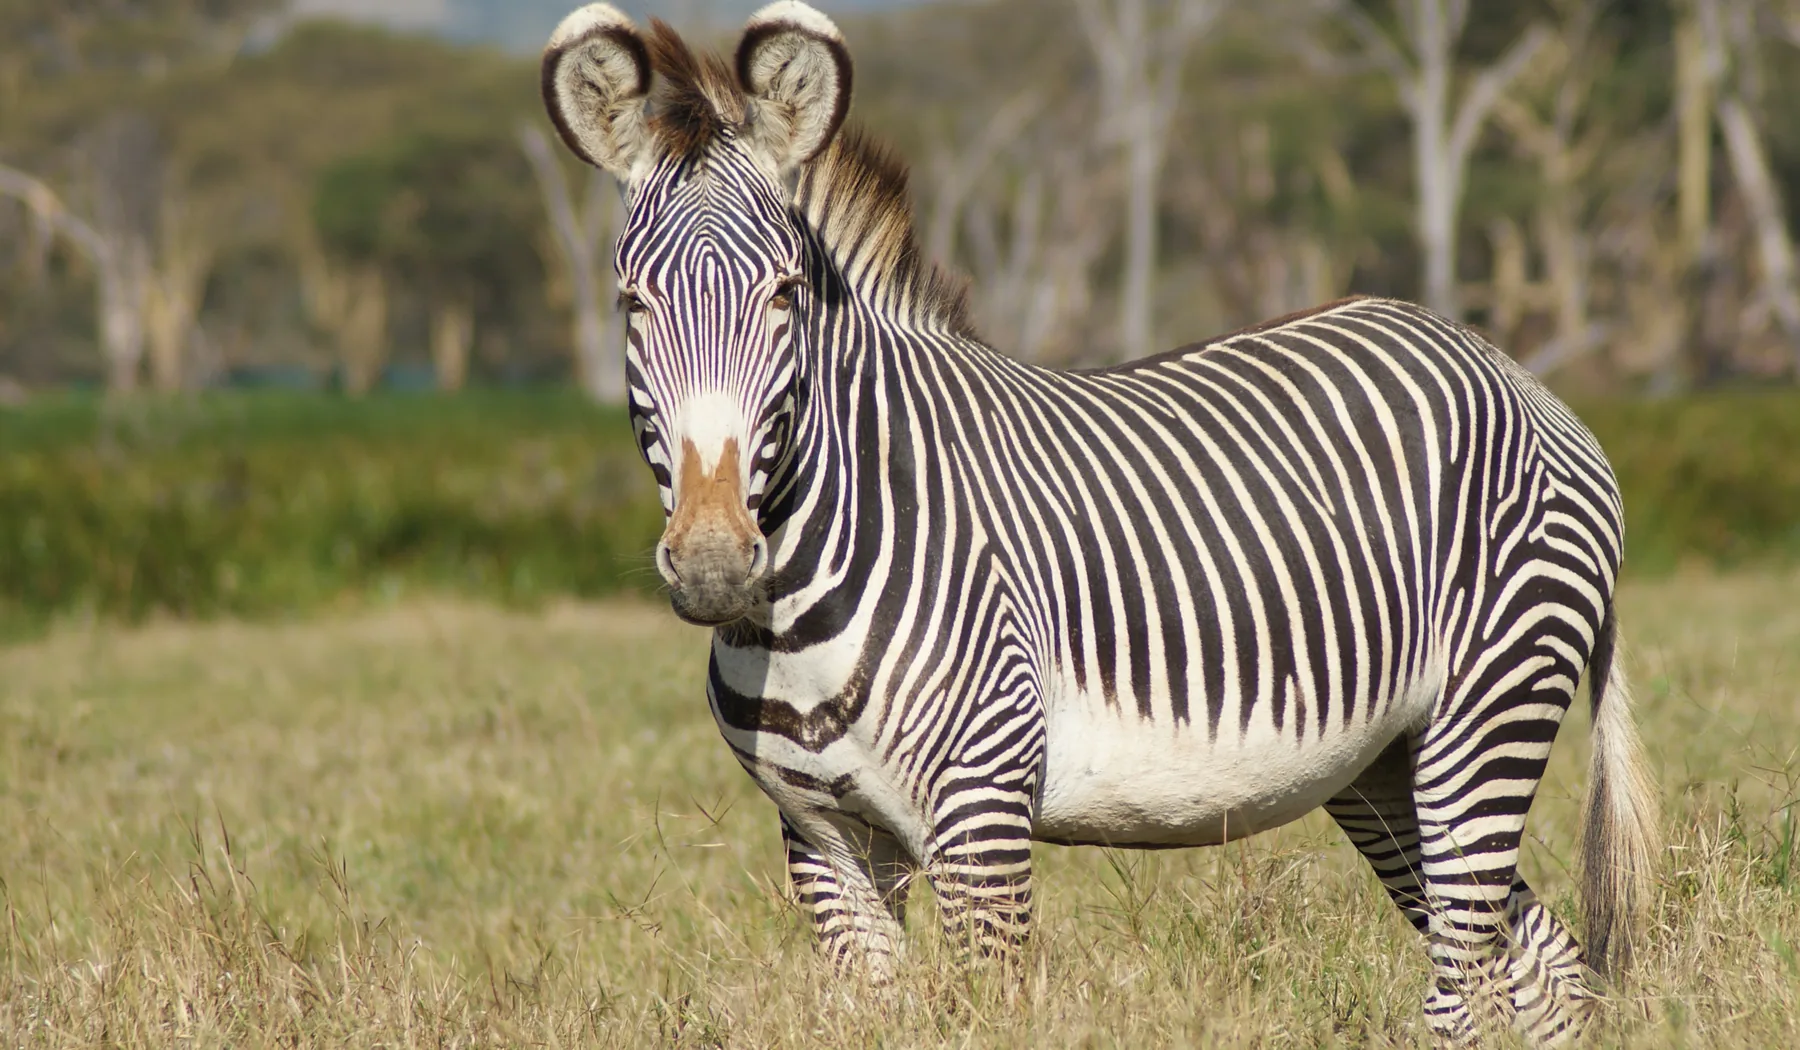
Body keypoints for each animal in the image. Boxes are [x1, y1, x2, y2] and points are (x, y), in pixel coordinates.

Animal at [540, 3, 1660, 1044]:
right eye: (629, 305)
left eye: (784, 296)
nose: (715, 565)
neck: (797, 600)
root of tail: (1515, 375)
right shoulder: (821, 836)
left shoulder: (980, 814)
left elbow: (992, 1009)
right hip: (1388, 760)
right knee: (1543, 973)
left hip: (1488, 712)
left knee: (1464, 989)